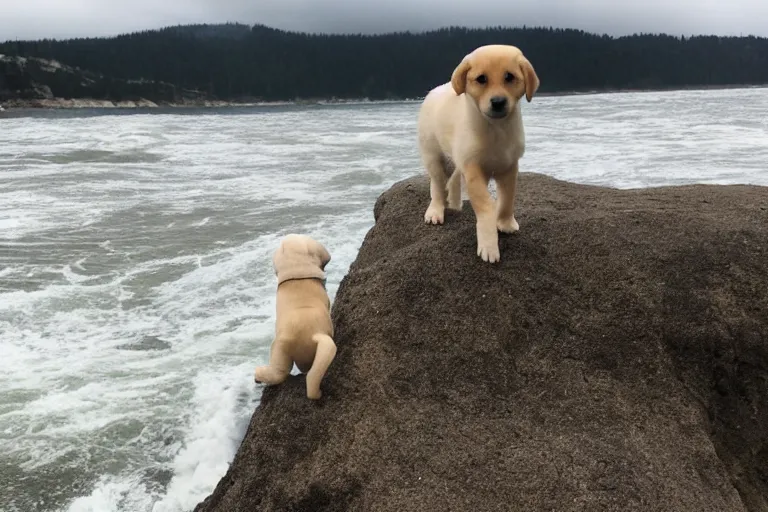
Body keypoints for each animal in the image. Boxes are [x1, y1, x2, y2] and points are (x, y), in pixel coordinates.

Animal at [416, 44, 536, 264]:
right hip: (432, 153)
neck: (496, 129)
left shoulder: (509, 166)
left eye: (509, 77)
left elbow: (507, 198)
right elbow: (486, 206)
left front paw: (505, 222)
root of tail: (435, 90)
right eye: (481, 79)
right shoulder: (472, 168)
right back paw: (435, 211)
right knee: (437, 183)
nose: (498, 102)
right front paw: (489, 245)